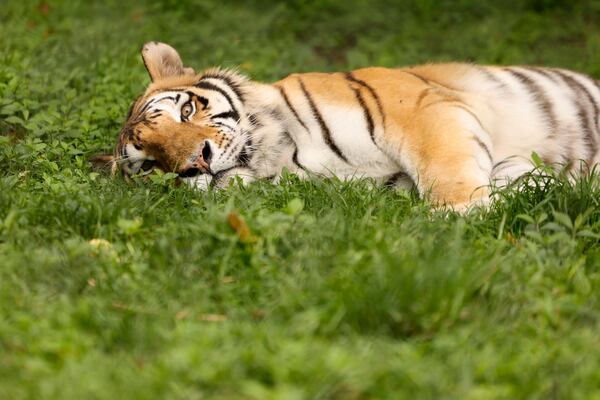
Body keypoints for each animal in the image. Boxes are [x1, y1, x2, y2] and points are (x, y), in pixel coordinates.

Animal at [96, 41, 600, 211]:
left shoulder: (422, 108)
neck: (285, 158)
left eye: (185, 112)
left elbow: (446, 167)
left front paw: (460, 214)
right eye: (149, 166)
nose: (195, 164)